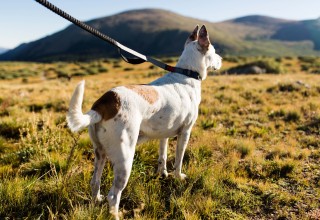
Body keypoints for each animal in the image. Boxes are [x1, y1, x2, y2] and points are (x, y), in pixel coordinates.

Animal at [67, 24, 222, 219]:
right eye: (214, 51)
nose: (222, 59)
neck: (187, 74)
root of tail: (104, 103)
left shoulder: (164, 134)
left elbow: (162, 156)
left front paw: (162, 174)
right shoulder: (185, 132)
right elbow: (178, 160)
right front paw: (178, 177)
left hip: (100, 153)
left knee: (95, 182)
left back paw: (97, 201)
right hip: (125, 158)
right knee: (113, 195)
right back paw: (115, 214)